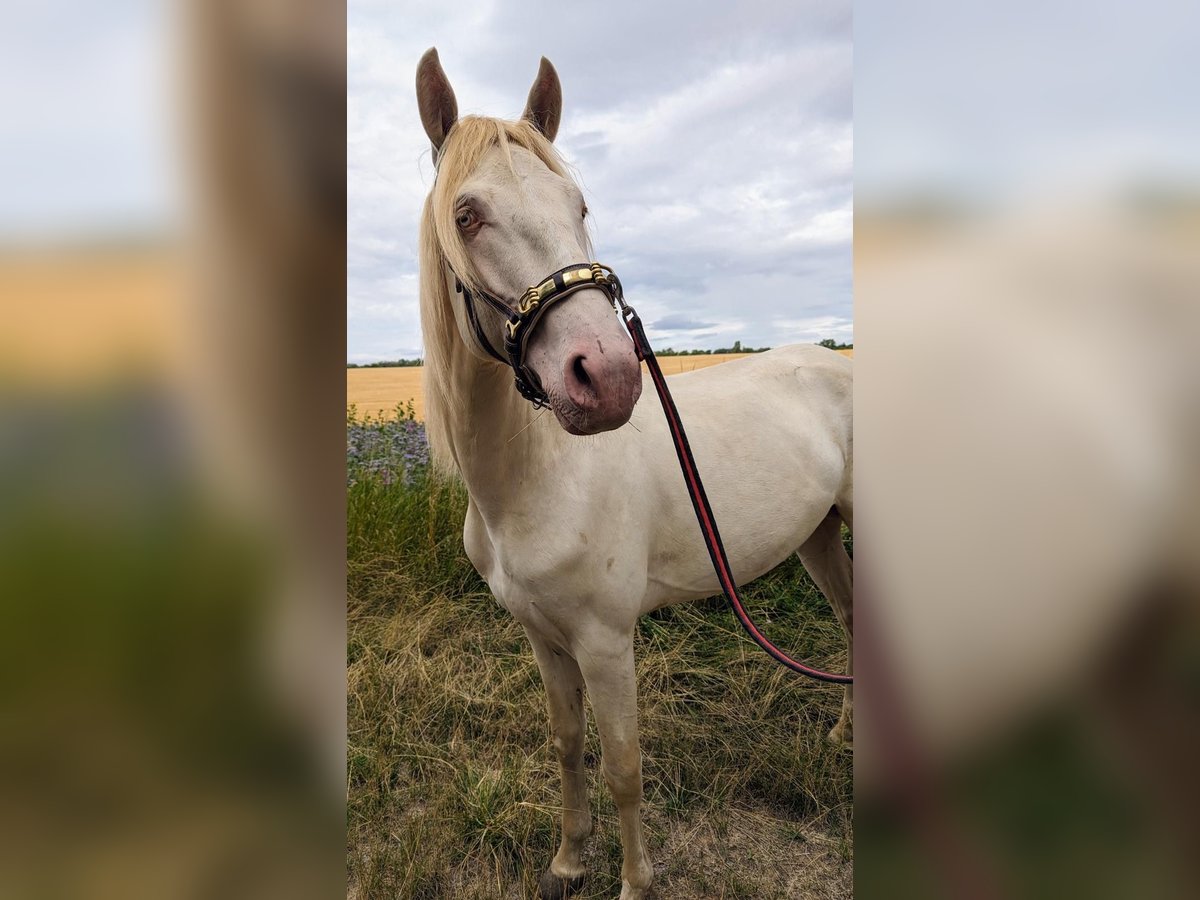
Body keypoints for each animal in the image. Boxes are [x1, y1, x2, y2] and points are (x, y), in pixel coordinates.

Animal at [412, 47, 854, 900]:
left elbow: (623, 767)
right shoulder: (545, 638)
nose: (608, 376)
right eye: (468, 215)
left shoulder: (606, 641)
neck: (537, 481)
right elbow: (565, 744)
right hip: (820, 537)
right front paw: (566, 861)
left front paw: (633, 881)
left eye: (578, 204)